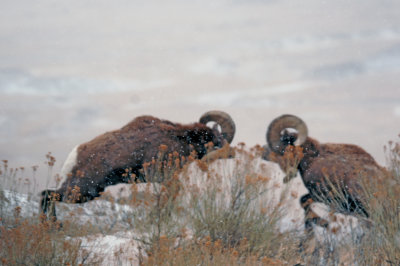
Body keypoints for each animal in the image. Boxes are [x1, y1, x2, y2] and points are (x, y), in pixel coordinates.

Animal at [40, 111, 234, 217]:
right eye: (216, 141)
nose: (231, 154)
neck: (177, 138)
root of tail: (76, 154)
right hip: (82, 192)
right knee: (47, 196)